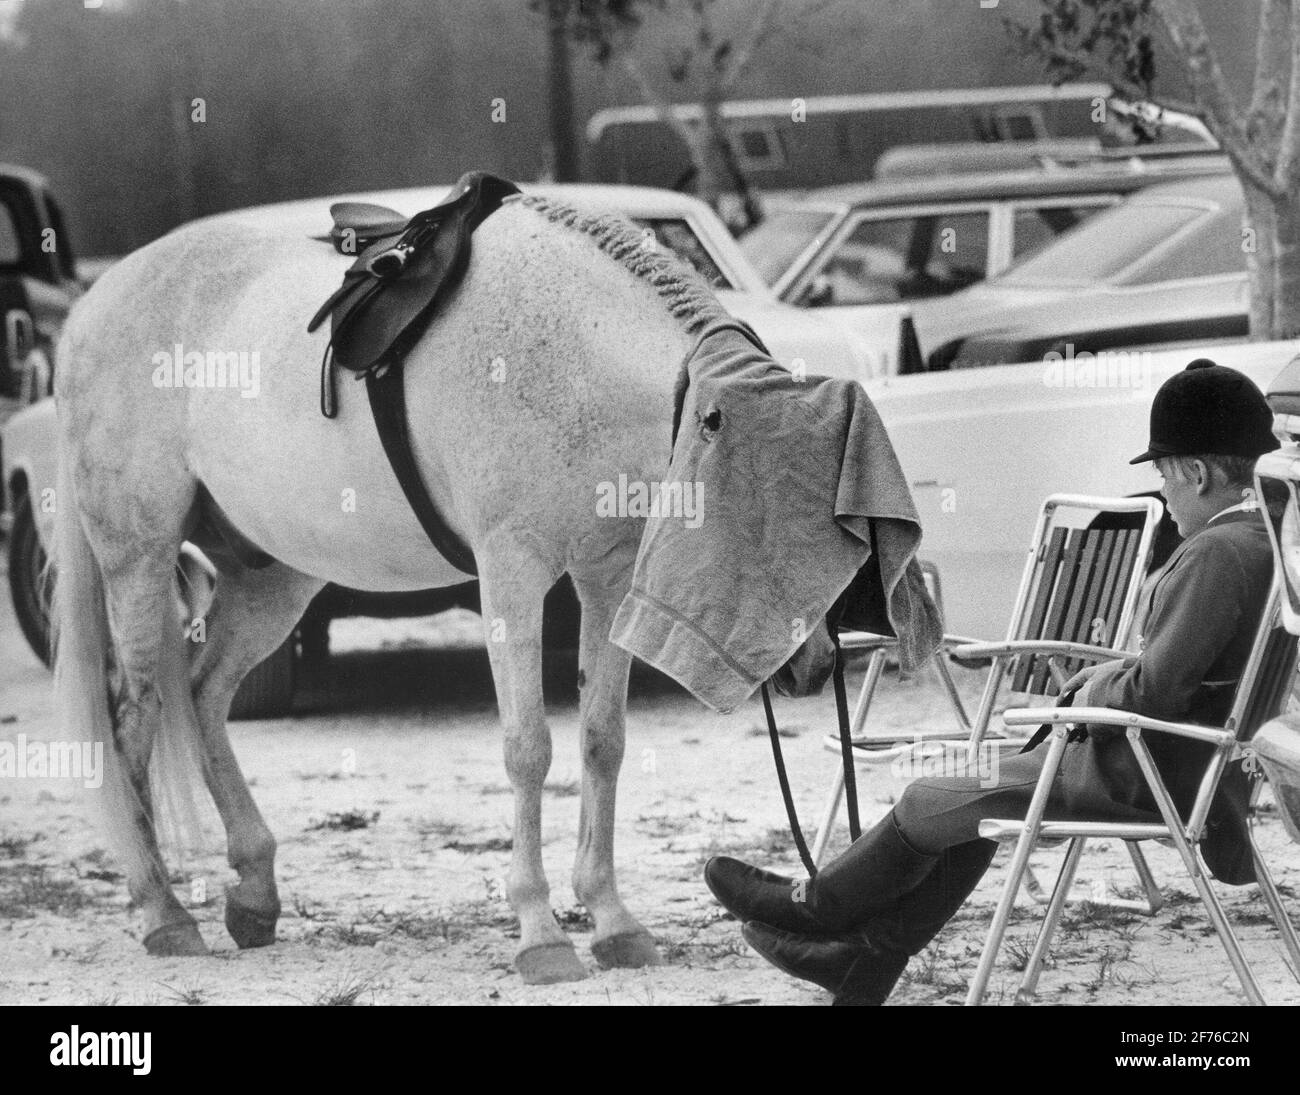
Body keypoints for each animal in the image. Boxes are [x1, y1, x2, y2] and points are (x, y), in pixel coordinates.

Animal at [53, 192, 832, 983]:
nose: (817, 664)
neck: (577, 352)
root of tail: (89, 306)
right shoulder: (512, 571)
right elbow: (528, 749)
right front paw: (541, 934)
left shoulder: (606, 578)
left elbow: (602, 742)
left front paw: (612, 921)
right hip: (137, 559)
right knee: (136, 717)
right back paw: (163, 912)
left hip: (275, 577)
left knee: (205, 693)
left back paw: (254, 892)